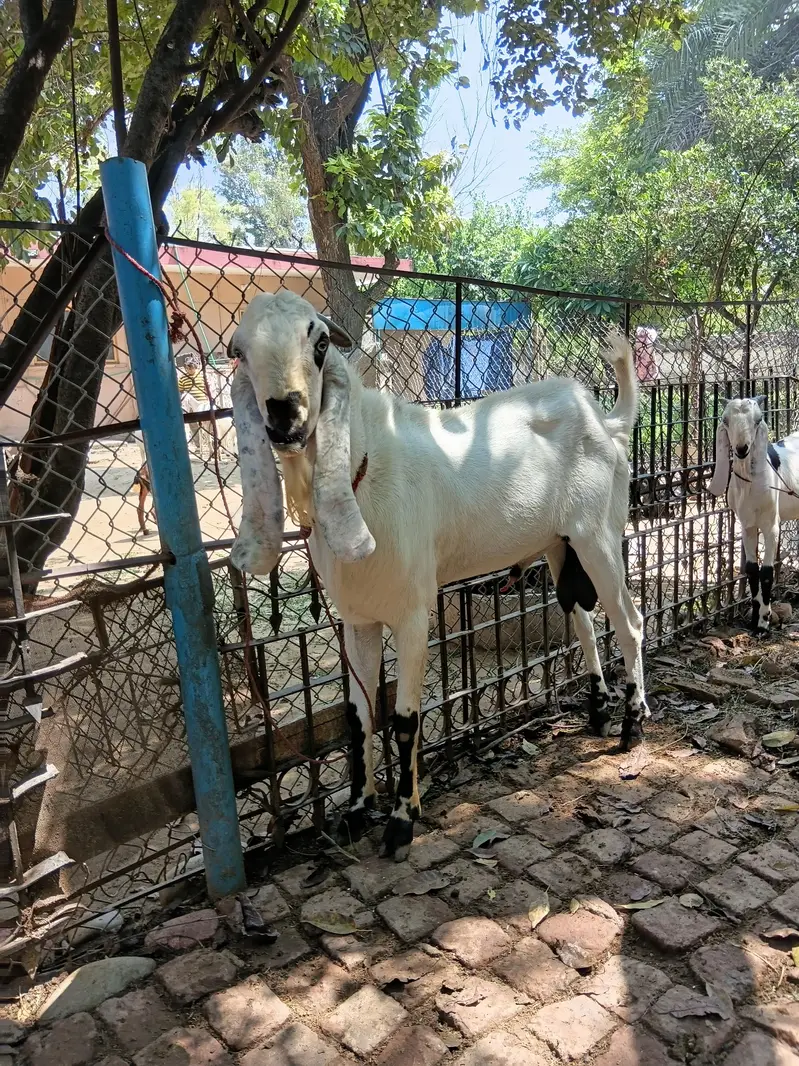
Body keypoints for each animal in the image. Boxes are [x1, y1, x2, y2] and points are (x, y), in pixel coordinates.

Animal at [228, 290, 648, 861]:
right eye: (239, 350)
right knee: (581, 618)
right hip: (559, 545)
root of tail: (606, 420)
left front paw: (401, 823)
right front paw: (356, 811)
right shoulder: (358, 619)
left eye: (319, 342)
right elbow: (358, 716)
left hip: (600, 535)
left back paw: (633, 723)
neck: (366, 466)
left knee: (629, 621)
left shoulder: (411, 614)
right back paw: (600, 710)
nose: (284, 414)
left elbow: (404, 720)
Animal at [709, 395, 799, 632]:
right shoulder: (747, 526)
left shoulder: (771, 526)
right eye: (725, 420)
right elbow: (751, 570)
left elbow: (766, 572)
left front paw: (763, 623)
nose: (742, 448)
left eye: (758, 419)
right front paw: (754, 618)